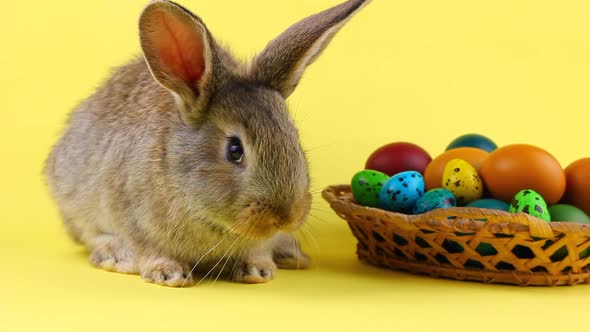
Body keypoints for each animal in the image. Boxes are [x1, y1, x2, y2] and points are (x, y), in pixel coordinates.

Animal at [45, 0, 370, 286]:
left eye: (293, 138)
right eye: (234, 150)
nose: (287, 216)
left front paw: (258, 270)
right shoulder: (132, 218)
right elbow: (148, 250)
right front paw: (168, 275)